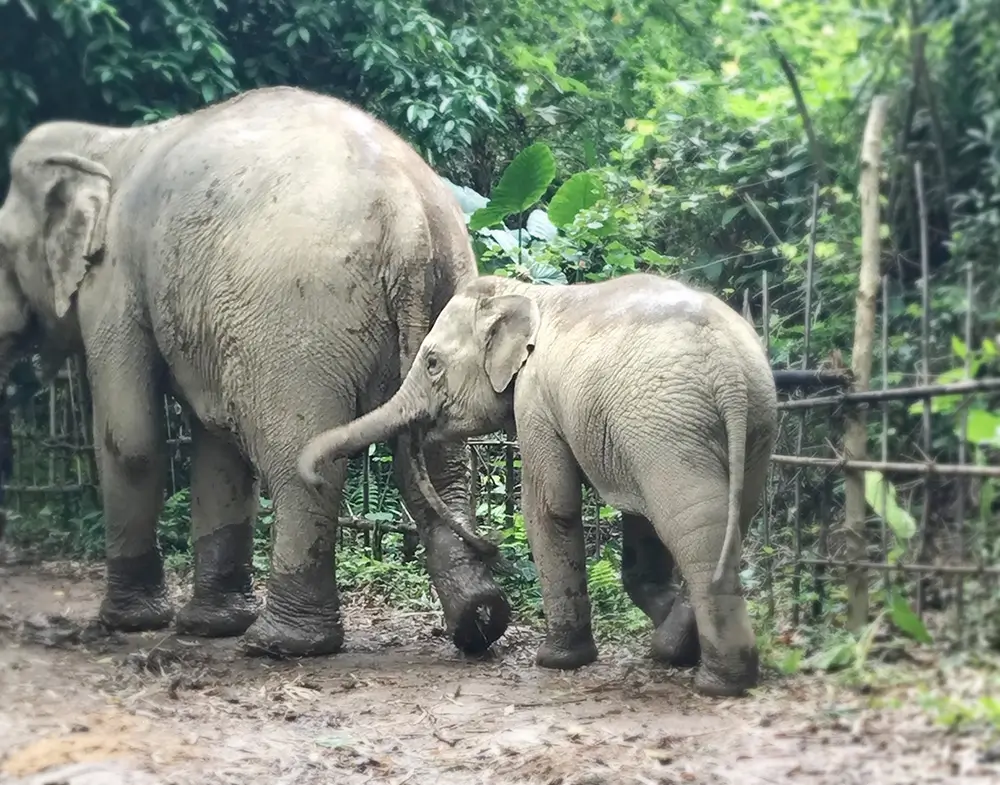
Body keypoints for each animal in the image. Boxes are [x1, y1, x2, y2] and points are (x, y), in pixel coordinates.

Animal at [0, 86, 512, 657]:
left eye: (1, 248)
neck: (102, 143)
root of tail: (409, 220)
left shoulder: (113, 282)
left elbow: (130, 440)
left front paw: (129, 623)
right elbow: (217, 449)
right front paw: (209, 626)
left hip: (300, 318)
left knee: (299, 458)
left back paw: (280, 643)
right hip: (448, 289)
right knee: (439, 460)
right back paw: (478, 622)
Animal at [298, 273, 779, 696]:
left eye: (432, 363)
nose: (315, 478)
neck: (527, 293)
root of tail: (730, 371)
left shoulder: (535, 400)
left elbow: (549, 508)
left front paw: (556, 661)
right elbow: (635, 522)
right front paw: (666, 645)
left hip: (668, 426)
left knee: (693, 532)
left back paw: (719, 683)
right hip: (750, 425)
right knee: (724, 524)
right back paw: (683, 654)